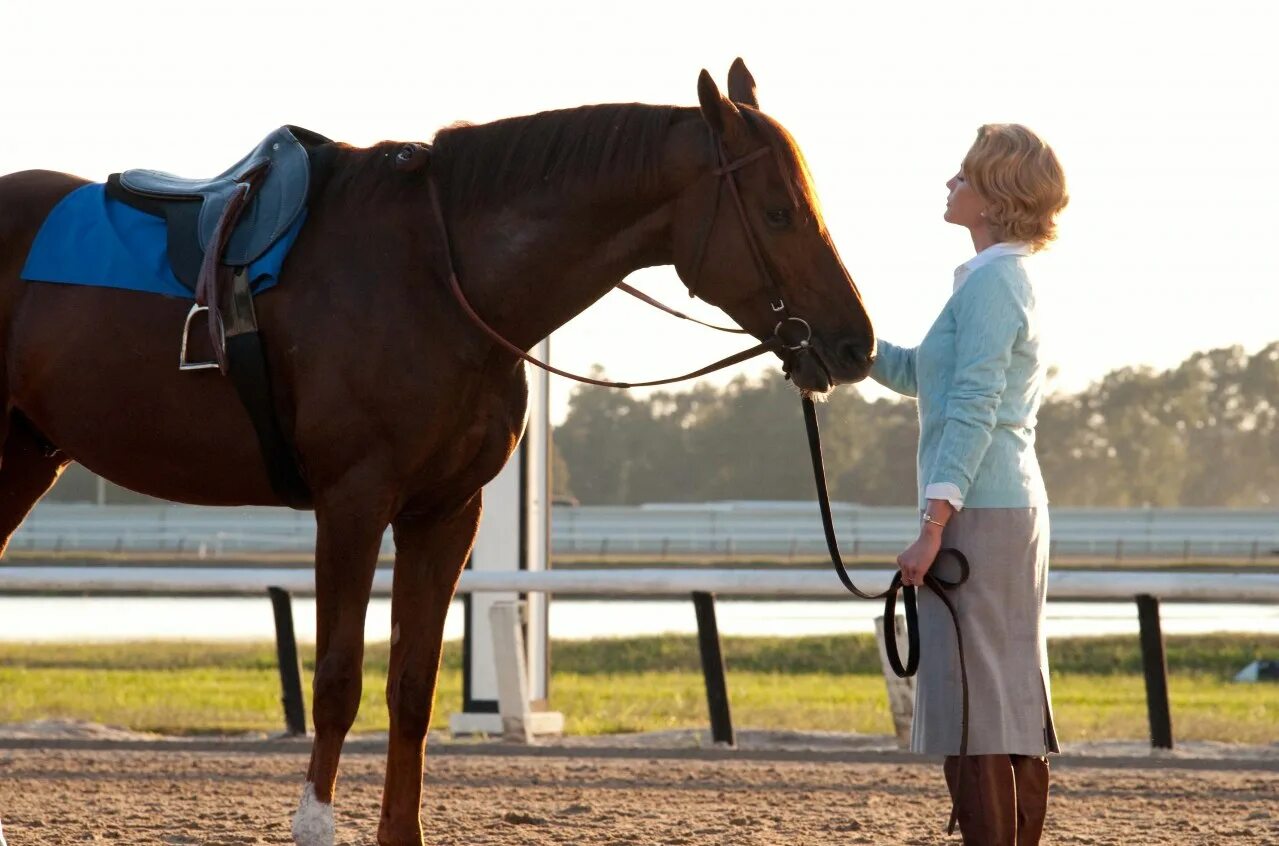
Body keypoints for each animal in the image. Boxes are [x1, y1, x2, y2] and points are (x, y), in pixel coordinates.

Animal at [0, 61, 874, 844]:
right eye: (777, 213)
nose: (853, 344)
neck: (439, 277)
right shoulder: (353, 505)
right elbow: (338, 679)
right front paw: (315, 824)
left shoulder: (446, 514)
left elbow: (412, 685)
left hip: (26, 461)